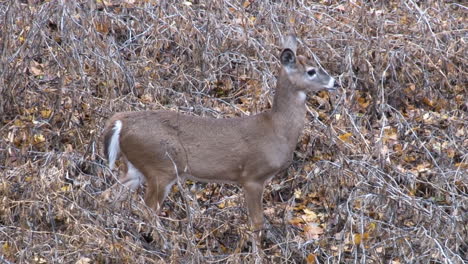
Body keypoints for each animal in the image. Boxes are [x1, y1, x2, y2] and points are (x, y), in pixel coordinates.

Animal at [102, 35, 336, 250]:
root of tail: (121, 122)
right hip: (162, 167)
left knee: (110, 195)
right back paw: (167, 245)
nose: (334, 81)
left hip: (136, 167)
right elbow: (257, 223)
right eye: (311, 71)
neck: (276, 129)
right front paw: (256, 255)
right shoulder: (252, 177)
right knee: (148, 209)